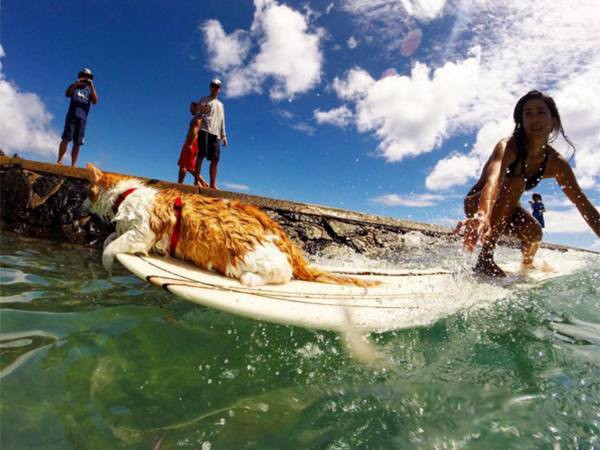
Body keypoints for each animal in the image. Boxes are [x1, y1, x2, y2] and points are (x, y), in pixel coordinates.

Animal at [85, 163, 376, 286]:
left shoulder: (145, 231)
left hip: (244, 255)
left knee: (282, 274)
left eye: (88, 192)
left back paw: (252, 279)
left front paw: (107, 265)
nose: (82, 205)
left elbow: (111, 247)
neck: (126, 195)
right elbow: (110, 237)